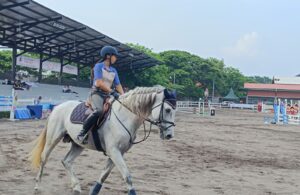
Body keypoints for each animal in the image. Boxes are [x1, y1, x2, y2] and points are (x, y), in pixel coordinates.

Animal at [28, 86, 176, 195]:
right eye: (168, 109)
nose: (169, 135)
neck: (125, 116)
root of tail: (58, 107)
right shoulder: (114, 151)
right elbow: (127, 176)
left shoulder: (118, 152)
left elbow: (104, 174)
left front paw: (94, 191)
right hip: (53, 139)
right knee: (44, 158)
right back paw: (37, 185)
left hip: (78, 144)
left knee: (66, 161)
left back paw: (76, 187)